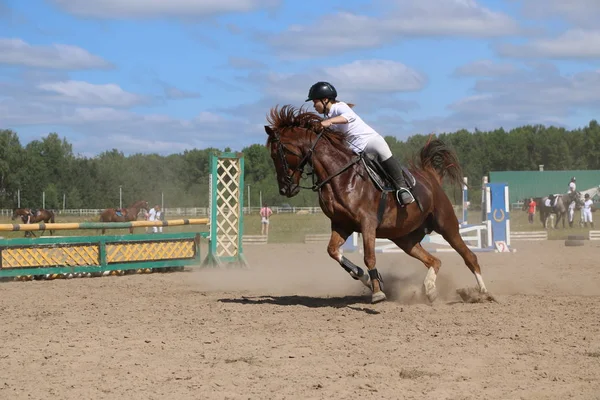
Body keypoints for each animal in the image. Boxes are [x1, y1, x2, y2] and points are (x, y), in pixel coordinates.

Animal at [264, 104, 490, 304]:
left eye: (278, 153)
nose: (286, 189)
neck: (340, 176)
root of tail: (430, 177)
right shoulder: (342, 225)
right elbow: (333, 252)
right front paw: (366, 278)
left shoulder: (368, 223)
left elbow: (369, 257)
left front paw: (377, 293)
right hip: (405, 239)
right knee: (435, 261)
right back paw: (430, 290)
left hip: (446, 225)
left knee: (469, 256)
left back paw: (483, 293)